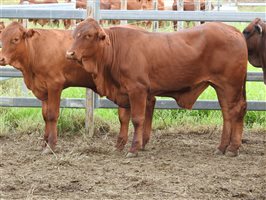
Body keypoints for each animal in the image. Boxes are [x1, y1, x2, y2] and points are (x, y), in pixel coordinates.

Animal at [66, 18, 247, 157]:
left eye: (89, 35)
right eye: (75, 35)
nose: (69, 53)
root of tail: (232, 29)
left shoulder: (137, 90)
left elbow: (137, 119)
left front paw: (134, 148)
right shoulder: (124, 92)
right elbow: (123, 118)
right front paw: (119, 145)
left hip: (231, 86)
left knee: (236, 110)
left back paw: (232, 148)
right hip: (221, 87)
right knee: (227, 113)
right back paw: (222, 147)